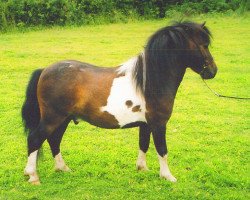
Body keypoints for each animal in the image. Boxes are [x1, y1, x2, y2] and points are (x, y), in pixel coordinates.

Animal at [21, 21, 217, 185]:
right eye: (204, 45)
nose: (213, 71)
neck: (149, 81)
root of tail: (44, 70)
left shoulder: (146, 124)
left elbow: (143, 144)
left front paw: (142, 169)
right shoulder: (159, 124)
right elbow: (162, 150)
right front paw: (168, 176)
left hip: (64, 119)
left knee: (54, 140)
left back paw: (62, 168)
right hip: (53, 118)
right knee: (35, 139)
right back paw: (33, 176)